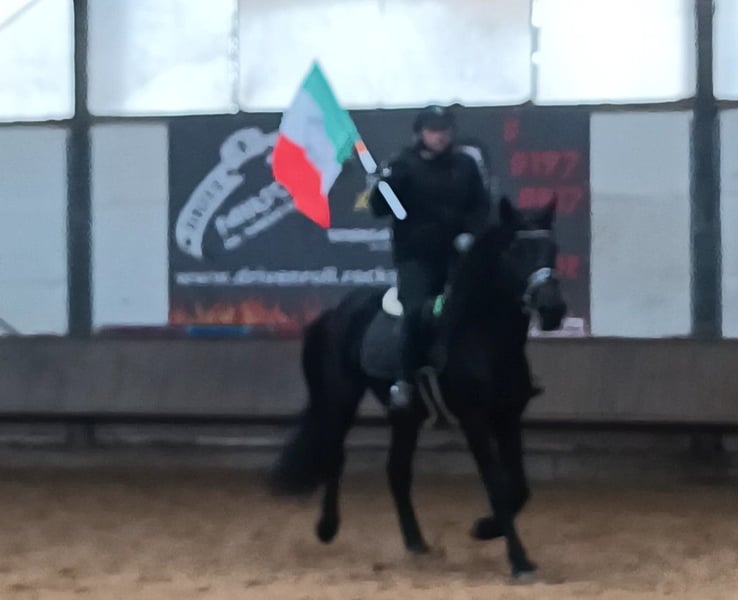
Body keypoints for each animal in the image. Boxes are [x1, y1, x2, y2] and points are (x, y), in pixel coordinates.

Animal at [269, 196, 566, 580]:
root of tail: (336, 311)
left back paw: (416, 543)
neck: (483, 336)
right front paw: (518, 561)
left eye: (553, 249)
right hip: (340, 398)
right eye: (518, 249)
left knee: (396, 470)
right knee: (335, 453)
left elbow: (519, 487)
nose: (553, 310)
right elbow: (498, 486)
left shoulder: (507, 416)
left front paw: (485, 529)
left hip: (405, 416)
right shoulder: (473, 419)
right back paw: (327, 528)